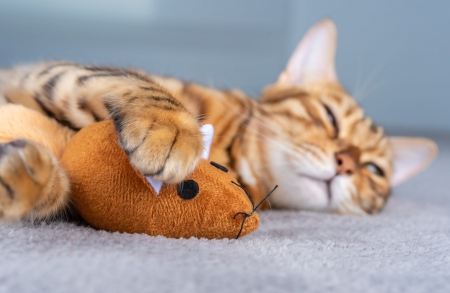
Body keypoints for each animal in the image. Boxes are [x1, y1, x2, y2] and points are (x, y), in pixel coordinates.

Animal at [0, 18, 438, 219]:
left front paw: (27, 177)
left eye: (373, 169)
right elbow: (140, 83)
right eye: (329, 117)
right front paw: (173, 128)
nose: (346, 163)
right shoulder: (57, 74)